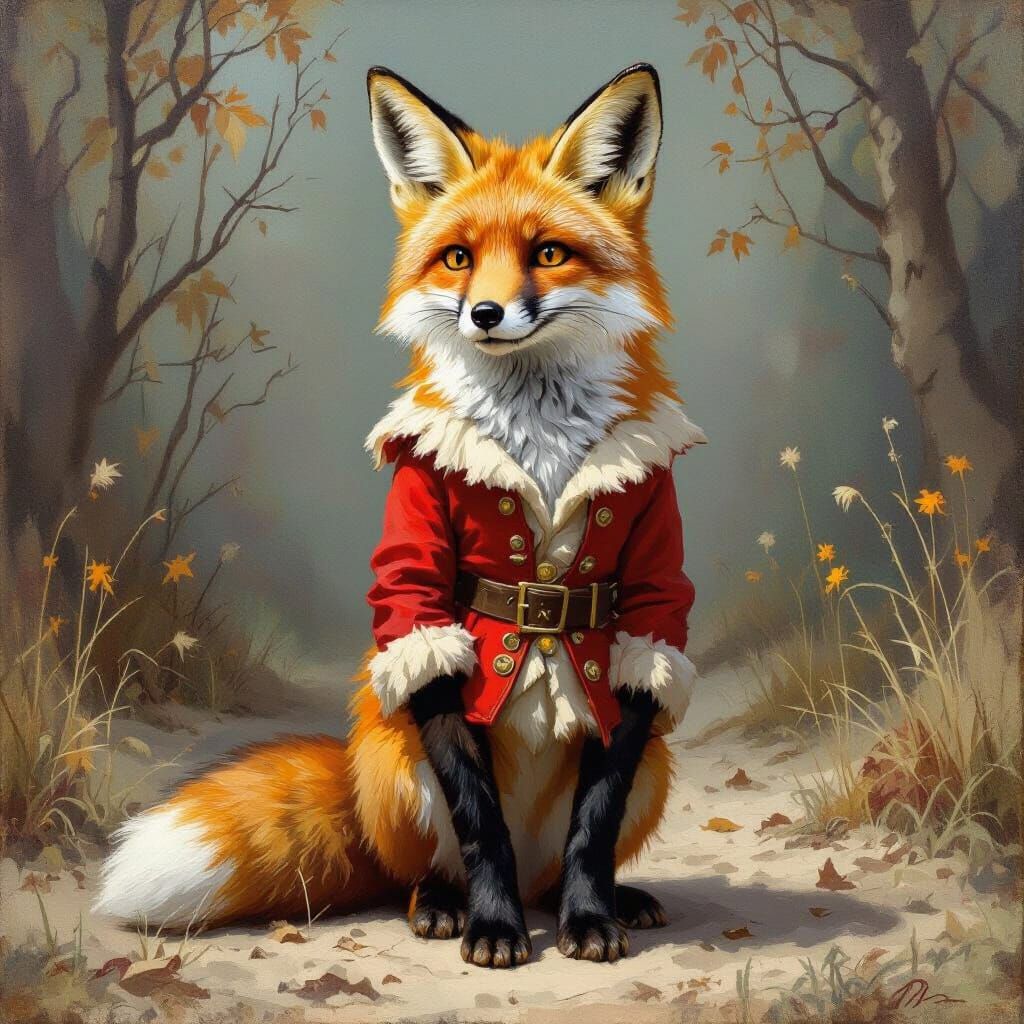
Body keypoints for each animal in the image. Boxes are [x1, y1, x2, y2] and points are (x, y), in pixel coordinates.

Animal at [94, 63, 706, 969]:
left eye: (547, 253)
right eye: (458, 260)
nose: (485, 315)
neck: (538, 436)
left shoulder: (649, 600)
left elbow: (593, 822)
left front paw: (591, 917)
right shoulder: (419, 594)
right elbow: (479, 820)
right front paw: (493, 929)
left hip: (656, 768)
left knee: (559, 861)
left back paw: (595, 899)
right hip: (397, 759)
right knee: (427, 868)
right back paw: (450, 904)